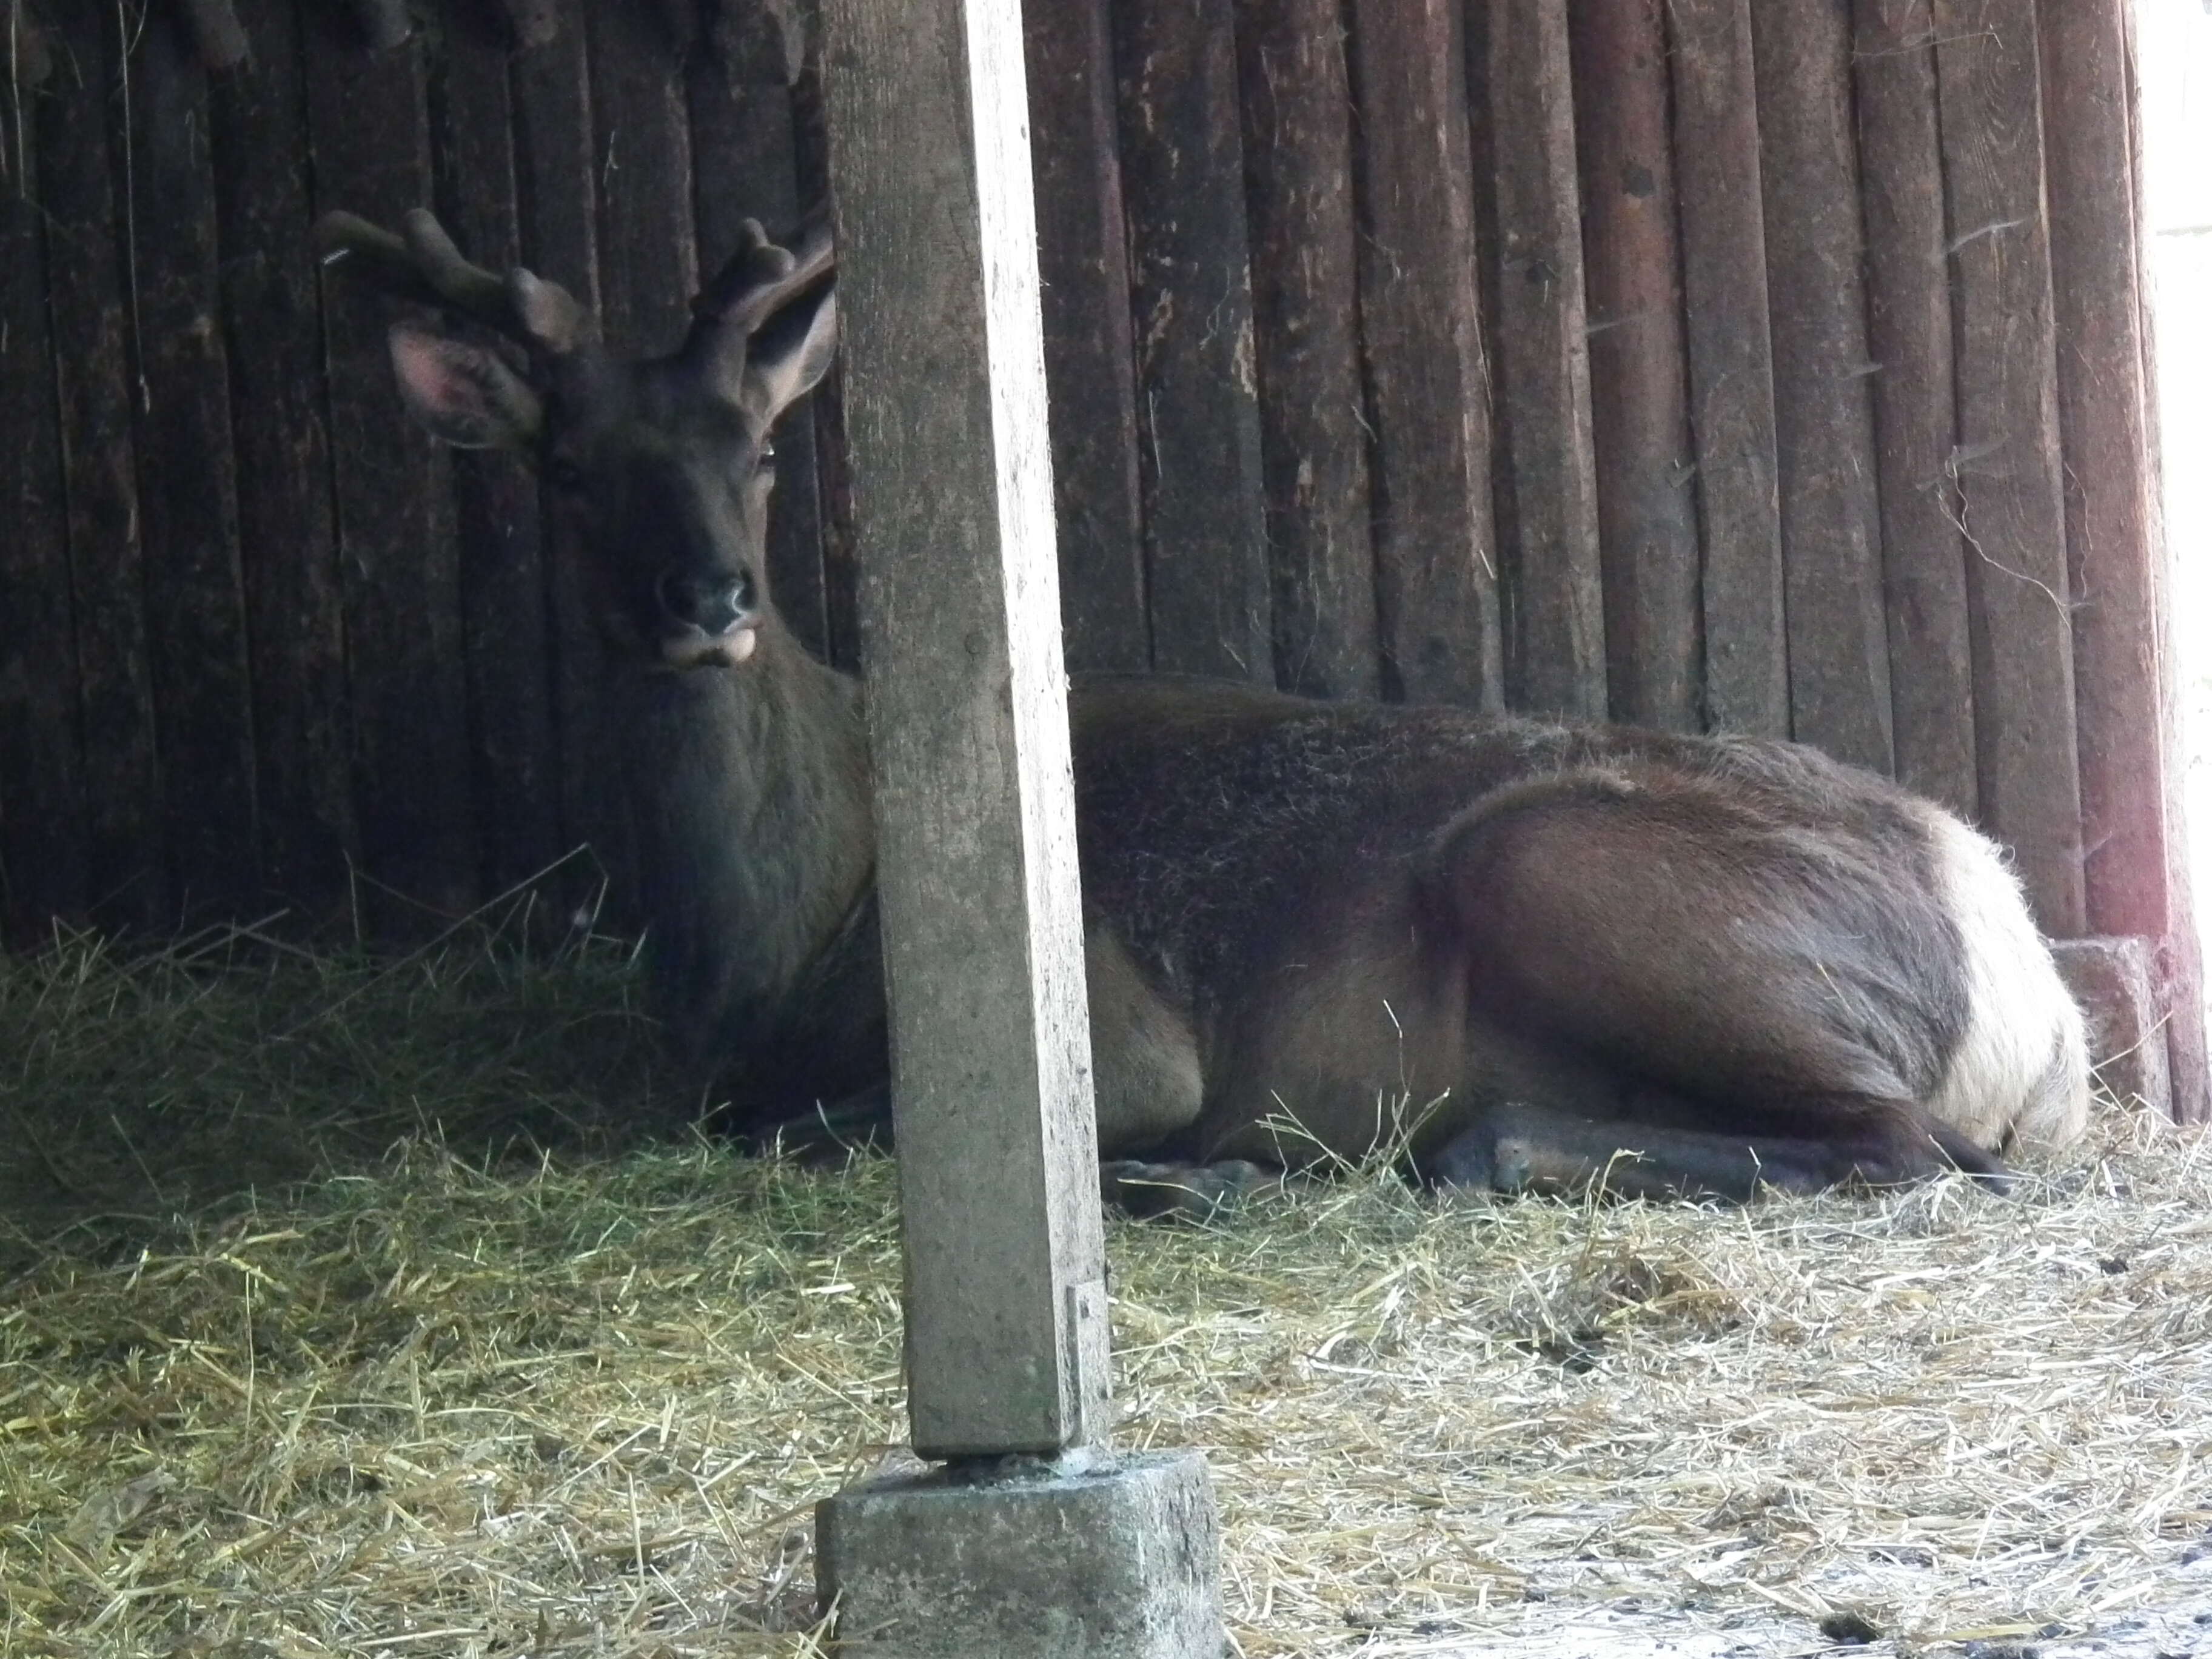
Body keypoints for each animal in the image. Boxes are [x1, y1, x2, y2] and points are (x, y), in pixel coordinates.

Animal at [316, 207, 2088, 1203]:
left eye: (754, 447)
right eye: (567, 467)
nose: (711, 601)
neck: (777, 938)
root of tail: (2039, 998)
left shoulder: (1113, 1024)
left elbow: (803, 1129)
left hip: (1566, 865)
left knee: (1923, 1156)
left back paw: (1419, 1154)